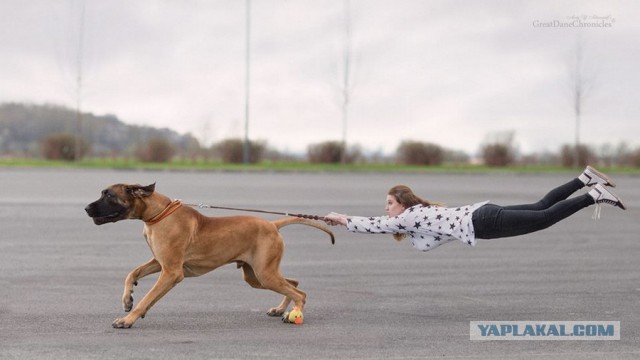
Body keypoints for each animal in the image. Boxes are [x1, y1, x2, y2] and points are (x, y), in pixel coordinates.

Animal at [85, 184, 336, 328]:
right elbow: (132, 273)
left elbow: (148, 297)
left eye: (108, 195)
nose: (86, 208)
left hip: (264, 274)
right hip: (257, 275)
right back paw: (280, 309)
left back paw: (294, 313)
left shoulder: (171, 272)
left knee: (300, 292)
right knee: (294, 283)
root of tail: (273, 224)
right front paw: (127, 299)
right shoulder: (160, 263)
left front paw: (128, 319)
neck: (157, 214)